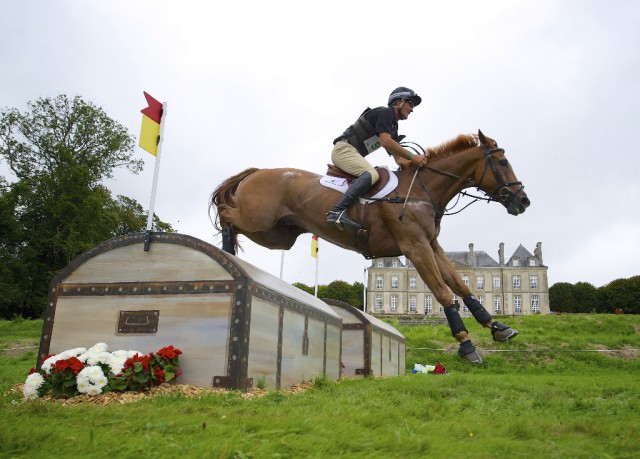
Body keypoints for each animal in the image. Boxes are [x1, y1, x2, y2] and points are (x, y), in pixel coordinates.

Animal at [210, 129, 528, 362]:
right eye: (502, 162)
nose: (523, 201)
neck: (422, 190)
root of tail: (257, 171)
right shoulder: (415, 247)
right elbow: (441, 291)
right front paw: (466, 344)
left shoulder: (431, 245)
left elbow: (460, 285)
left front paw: (498, 327)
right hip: (259, 221)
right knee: (225, 212)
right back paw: (226, 252)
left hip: (278, 235)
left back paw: (228, 255)